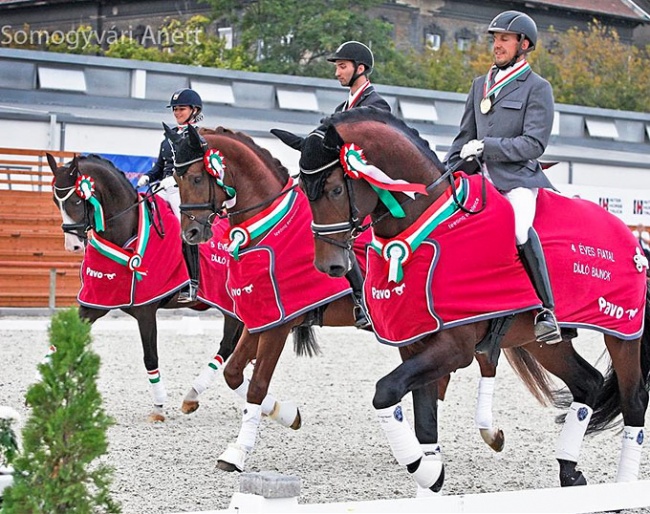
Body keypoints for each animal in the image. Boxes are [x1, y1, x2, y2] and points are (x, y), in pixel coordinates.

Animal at [46, 153, 294, 428]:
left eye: (77, 199)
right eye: (55, 201)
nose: (73, 245)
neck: (126, 234)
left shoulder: (146, 311)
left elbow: (150, 357)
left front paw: (158, 407)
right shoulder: (95, 304)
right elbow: (60, 343)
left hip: (233, 307)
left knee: (227, 346)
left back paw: (194, 395)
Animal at [165, 123, 504, 480]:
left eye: (196, 178)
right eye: (176, 180)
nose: (190, 233)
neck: (264, 228)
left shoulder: (279, 325)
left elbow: (256, 385)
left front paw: (237, 452)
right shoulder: (263, 316)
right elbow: (233, 374)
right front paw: (287, 414)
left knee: (484, 362)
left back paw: (486, 433)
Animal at [272, 106, 648, 490]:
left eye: (335, 189)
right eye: (304, 191)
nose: (329, 265)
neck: (420, 229)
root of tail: (631, 237)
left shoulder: (455, 348)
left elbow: (385, 392)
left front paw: (422, 467)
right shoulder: (415, 344)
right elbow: (422, 420)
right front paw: (429, 473)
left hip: (623, 333)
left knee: (634, 400)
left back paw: (621, 483)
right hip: (543, 342)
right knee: (587, 383)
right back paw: (570, 472)